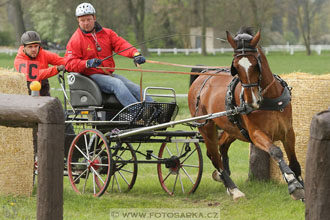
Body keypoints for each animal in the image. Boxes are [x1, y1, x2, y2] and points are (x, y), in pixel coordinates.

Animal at [188, 27, 304, 201]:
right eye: (236, 66)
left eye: (256, 64)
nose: (251, 102)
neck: (269, 99)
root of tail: (201, 77)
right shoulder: (256, 134)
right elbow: (276, 152)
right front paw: (293, 183)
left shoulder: (288, 132)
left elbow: (295, 162)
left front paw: (303, 188)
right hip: (206, 127)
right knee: (214, 156)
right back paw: (233, 189)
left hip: (232, 129)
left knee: (221, 146)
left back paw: (225, 180)